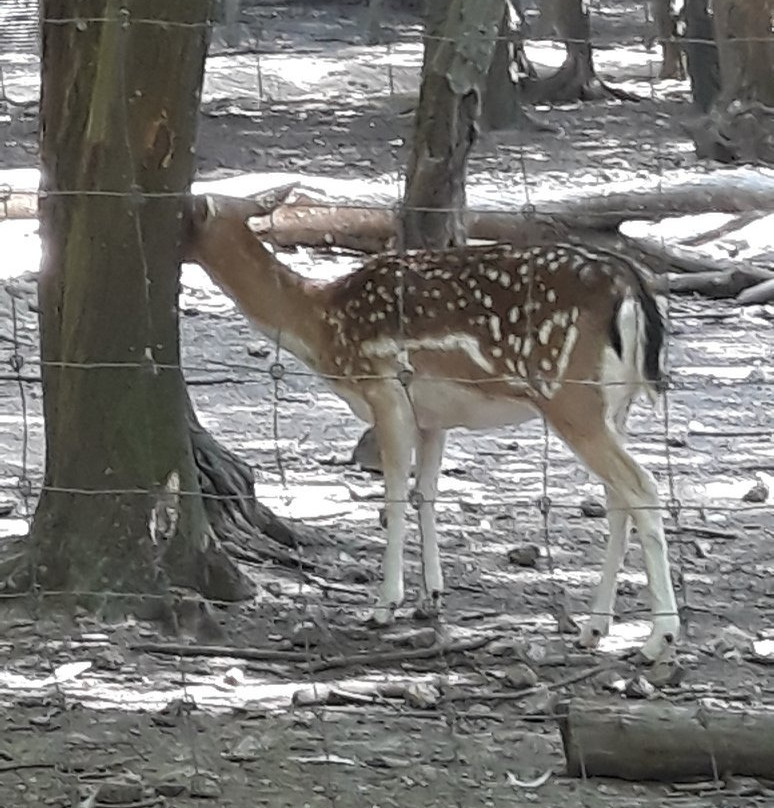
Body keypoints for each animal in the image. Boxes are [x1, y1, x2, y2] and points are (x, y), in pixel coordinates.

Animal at [185, 189, 684, 664]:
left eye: (183, 211)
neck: (322, 325)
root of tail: (633, 290)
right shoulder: (433, 417)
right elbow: (425, 493)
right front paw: (431, 598)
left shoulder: (385, 389)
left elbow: (394, 497)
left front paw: (384, 606)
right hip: (616, 405)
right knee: (617, 498)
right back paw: (593, 629)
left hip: (568, 393)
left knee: (641, 485)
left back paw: (658, 640)